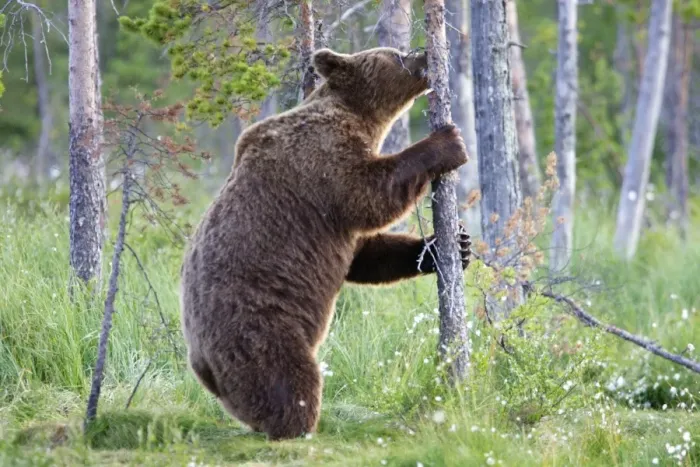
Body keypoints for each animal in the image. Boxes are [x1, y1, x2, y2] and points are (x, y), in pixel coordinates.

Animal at [179, 46, 470, 441]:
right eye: (396, 55)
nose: (425, 53)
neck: (359, 118)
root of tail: (201, 362)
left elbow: (366, 255)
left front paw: (453, 245)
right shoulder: (320, 161)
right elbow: (369, 193)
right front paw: (449, 143)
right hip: (259, 327)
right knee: (287, 377)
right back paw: (298, 426)